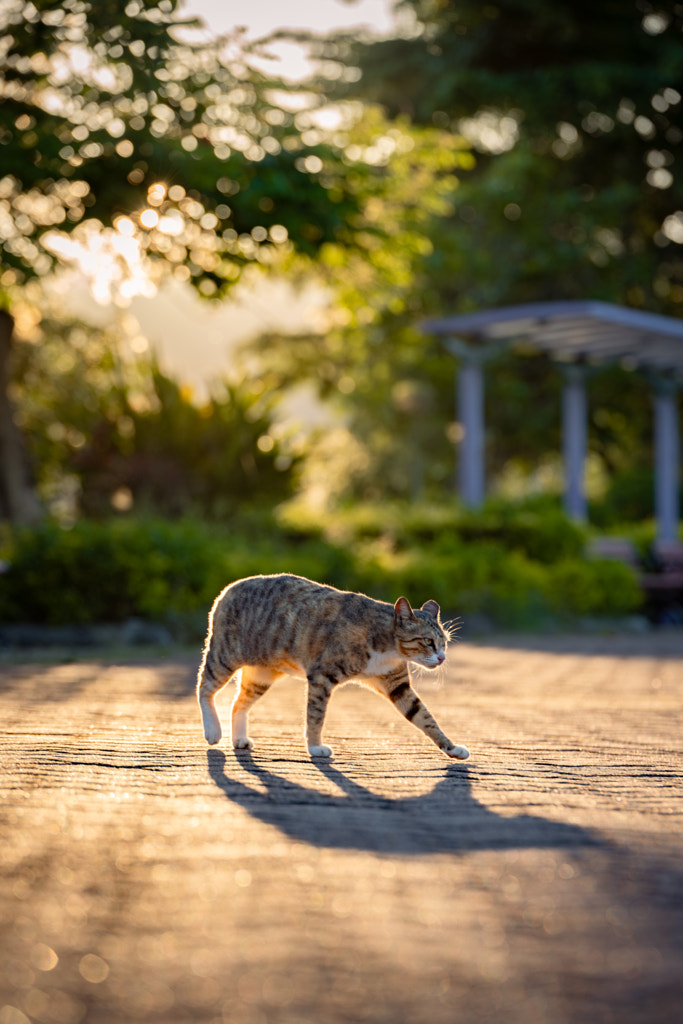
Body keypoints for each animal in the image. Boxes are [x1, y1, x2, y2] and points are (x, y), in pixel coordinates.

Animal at [197, 577, 471, 761]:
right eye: (428, 641)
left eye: (445, 642)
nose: (442, 658)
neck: (386, 645)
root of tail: (228, 588)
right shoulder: (322, 676)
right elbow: (316, 715)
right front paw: (315, 747)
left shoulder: (396, 683)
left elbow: (424, 717)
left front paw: (452, 748)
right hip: (225, 655)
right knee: (204, 687)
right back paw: (212, 730)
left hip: (262, 674)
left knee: (238, 703)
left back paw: (239, 739)